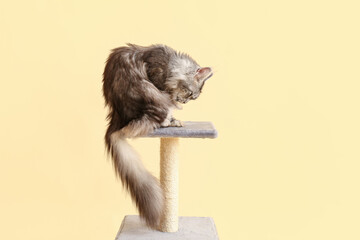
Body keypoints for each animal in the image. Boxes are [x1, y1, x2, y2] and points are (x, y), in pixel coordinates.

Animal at [102, 43, 212, 229]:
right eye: (190, 94)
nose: (184, 102)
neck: (172, 65)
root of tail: (117, 119)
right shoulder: (155, 75)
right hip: (152, 95)